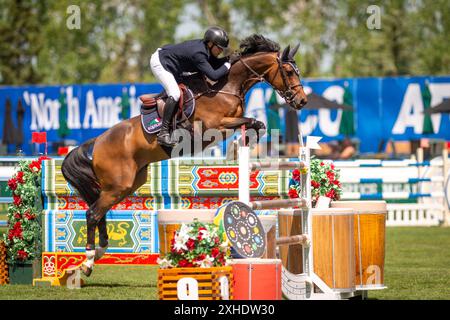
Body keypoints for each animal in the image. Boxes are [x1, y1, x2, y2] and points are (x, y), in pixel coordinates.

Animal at [61, 34, 308, 276]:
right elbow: (252, 121)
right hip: (118, 185)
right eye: (288, 72)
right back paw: (88, 261)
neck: (226, 87)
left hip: (125, 185)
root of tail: (98, 142)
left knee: (99, 212)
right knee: (93, 213)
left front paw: (245, 144)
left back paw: (99, 253)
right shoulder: (216, 125)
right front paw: (240, 146)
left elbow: (258, 124)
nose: (302, 101)